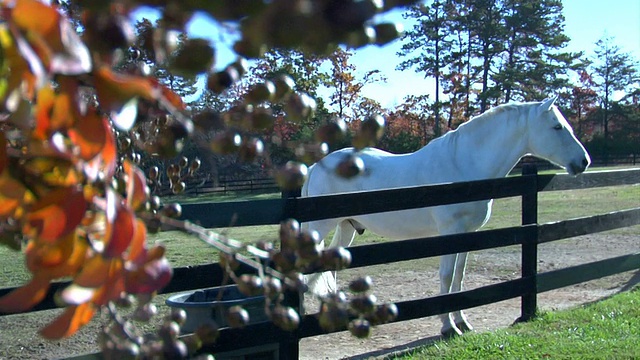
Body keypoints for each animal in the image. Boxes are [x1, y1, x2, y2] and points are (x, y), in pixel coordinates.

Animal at [302, 96, 592, 338]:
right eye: (557, 127)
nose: (584, 161)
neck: (463, 165)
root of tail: (316, 166)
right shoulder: (450, 232)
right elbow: (446, 275)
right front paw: (447, 326)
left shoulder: (467, 234)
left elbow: (459, 276)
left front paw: (462, 321)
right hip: (320, 225)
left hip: (346, 227)